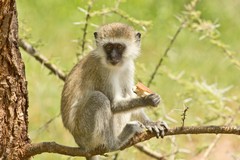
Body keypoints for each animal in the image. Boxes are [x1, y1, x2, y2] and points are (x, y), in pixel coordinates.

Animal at [61, 22, 168, 159]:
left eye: (119, 47)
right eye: (108, 47)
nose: (113, 56)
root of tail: (80, 143)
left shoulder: (129, 66)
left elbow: (129, 94)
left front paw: (151, 123)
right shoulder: (102, 71)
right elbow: (114, 105)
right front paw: (148, 100)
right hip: (85, 133)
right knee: (99, 98)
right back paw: (115, 143)